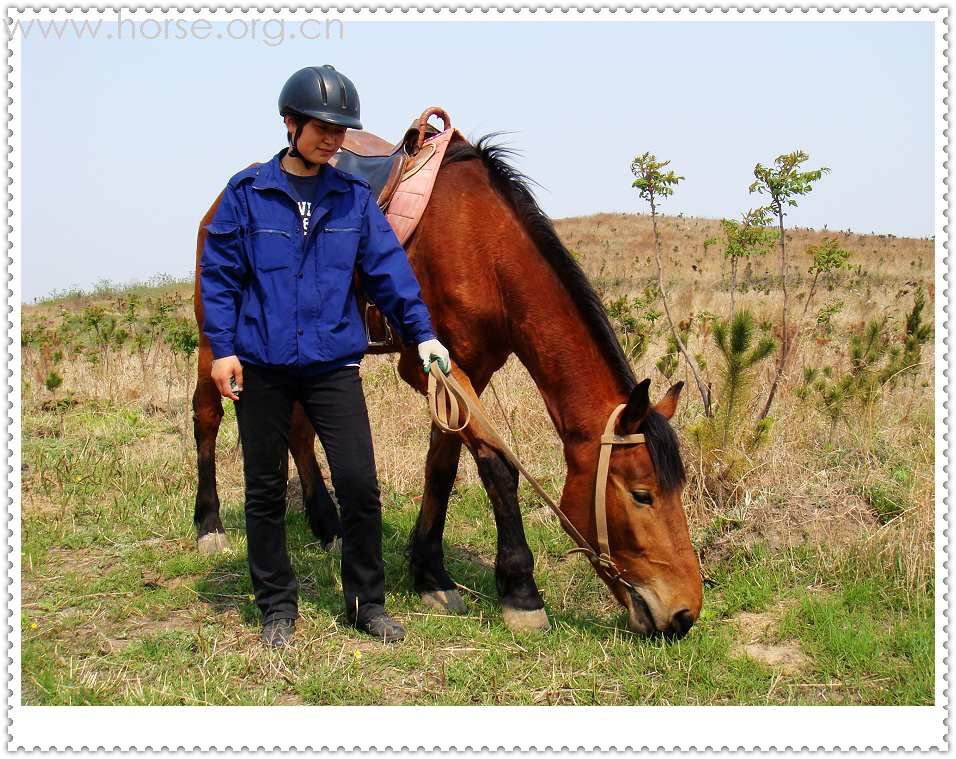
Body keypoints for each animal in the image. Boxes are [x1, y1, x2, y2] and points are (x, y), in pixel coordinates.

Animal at [192, 134, 704, 640]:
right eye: (642, 494)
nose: (684, 613)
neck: (484, 248)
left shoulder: (464, 371)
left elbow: (442, 466)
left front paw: (429, 572)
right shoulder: (433, 369)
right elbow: (497, 466)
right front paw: (521, 593)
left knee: (298, 429)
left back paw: (327, 525)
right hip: (214, 344)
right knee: (207, 417)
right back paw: (209, 525)